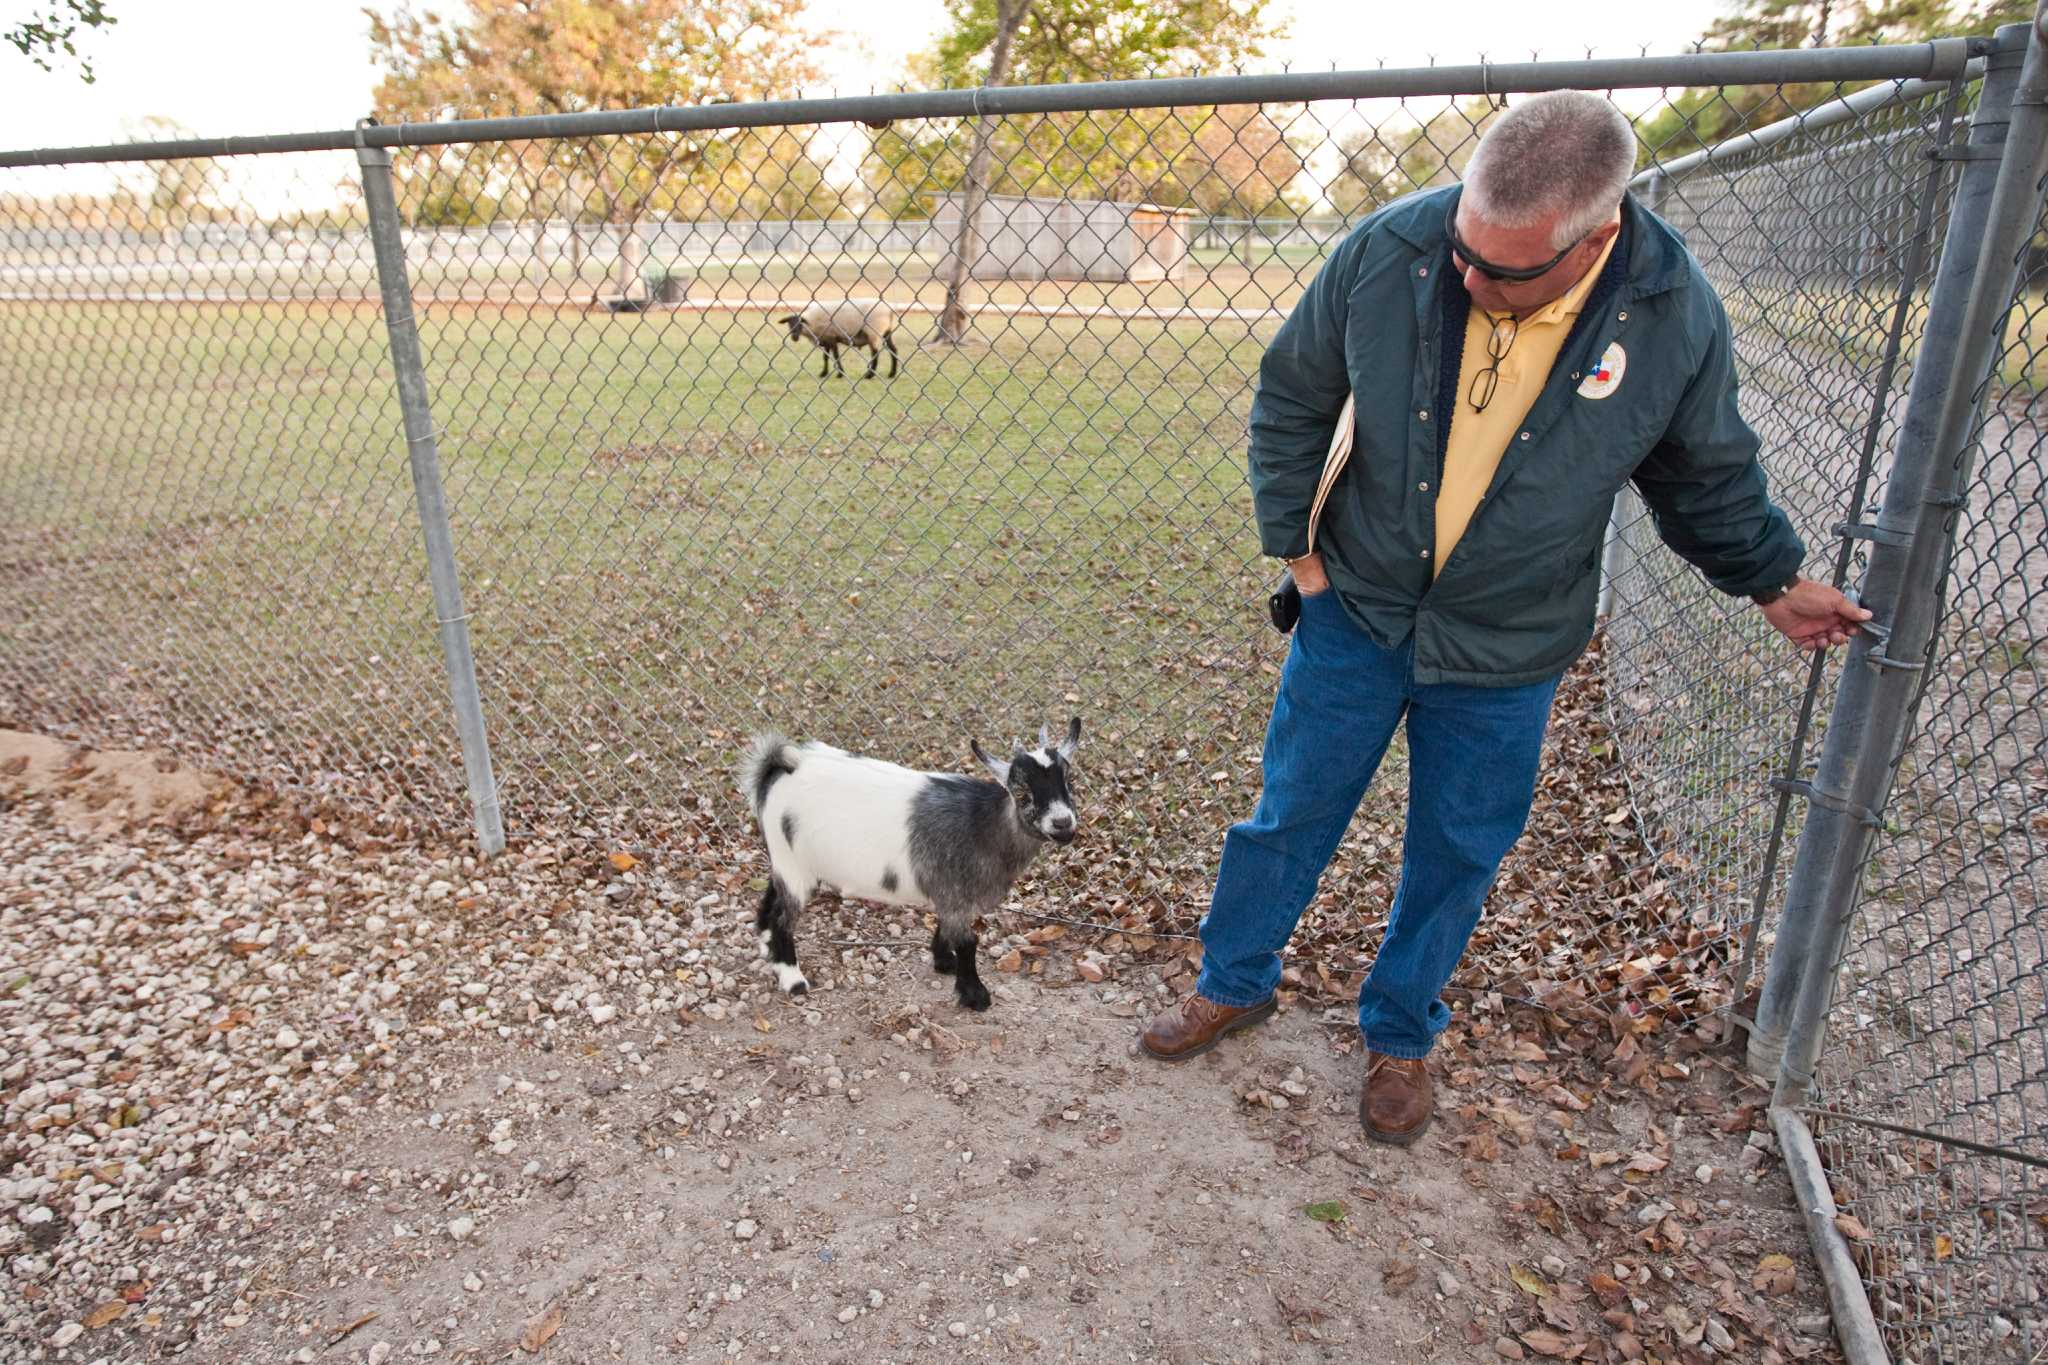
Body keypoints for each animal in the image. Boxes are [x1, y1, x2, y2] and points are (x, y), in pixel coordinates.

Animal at [737, 719, 1081, 1011]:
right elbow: (968, 942)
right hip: (794, 865)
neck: (983, 824)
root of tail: (778, 768)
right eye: (1020, 791)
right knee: (783, 916)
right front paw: (975, 996)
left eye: (1068, 781)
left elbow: (947, 929)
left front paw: (944, 961)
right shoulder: (954, 891)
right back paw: (793, 979)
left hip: (787, 859)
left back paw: (768, 948)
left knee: (770, 900)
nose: (1063, 823)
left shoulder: (950, 893)